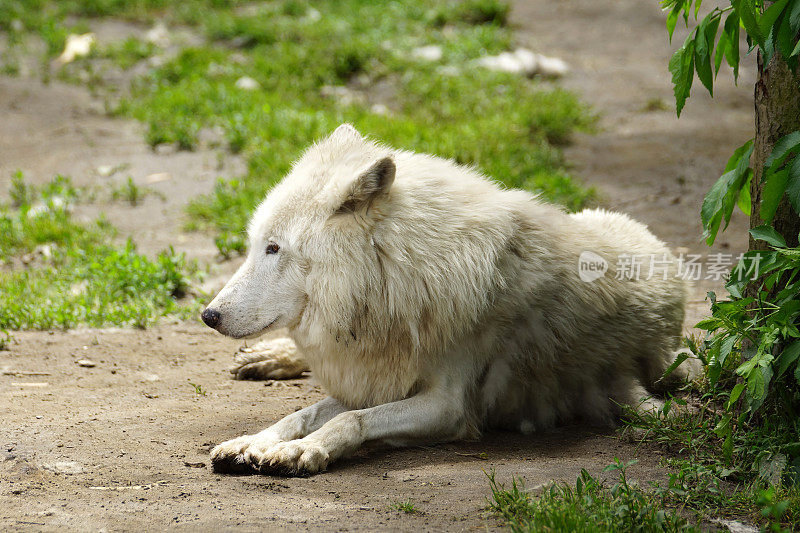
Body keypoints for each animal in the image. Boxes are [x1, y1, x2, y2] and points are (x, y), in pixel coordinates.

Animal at [202, 124, 688, 474]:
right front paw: (252, 442)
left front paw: (305, 452)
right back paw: (267, 357)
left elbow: (347, 420)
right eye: (255, 245)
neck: (398, 279)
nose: (208, 315)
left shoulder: (447, 405)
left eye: (273, 248)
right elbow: (300, 415)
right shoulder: (379, 378)